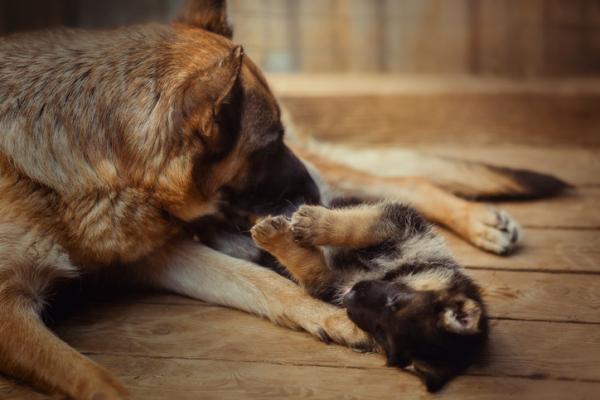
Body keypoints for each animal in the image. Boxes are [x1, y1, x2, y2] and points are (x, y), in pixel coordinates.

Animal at [0, 1, 568, 398]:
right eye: (269, 144)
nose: (309, 199)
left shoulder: (158, 248)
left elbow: (269, 283)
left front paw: (333, 314)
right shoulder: (24, 306)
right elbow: (95, 376)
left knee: (405, 185)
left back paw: (480, 221)